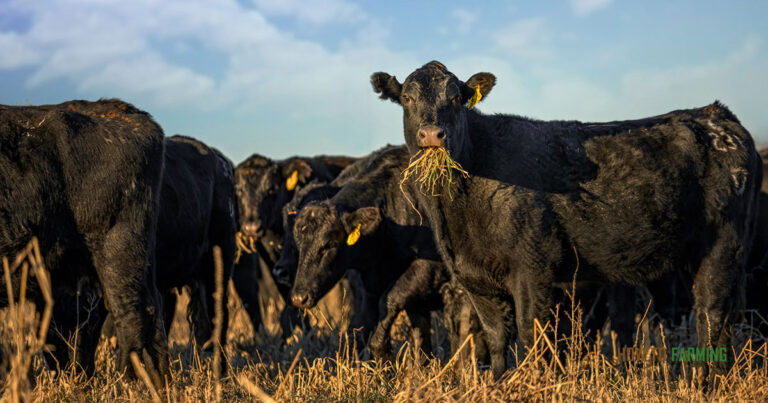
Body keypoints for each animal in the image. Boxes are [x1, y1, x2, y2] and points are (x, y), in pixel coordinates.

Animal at [370, 61, 762, 383]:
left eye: (455, 98)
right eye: (407, 98)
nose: (432, 135)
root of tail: (716, 115)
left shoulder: (533, 267)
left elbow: (531, 333)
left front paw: (531, 383)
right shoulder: (473, 276)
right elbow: (496, 337)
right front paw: (498, 384)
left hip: (723, 244)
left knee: (711, 313)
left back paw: (703, 382)